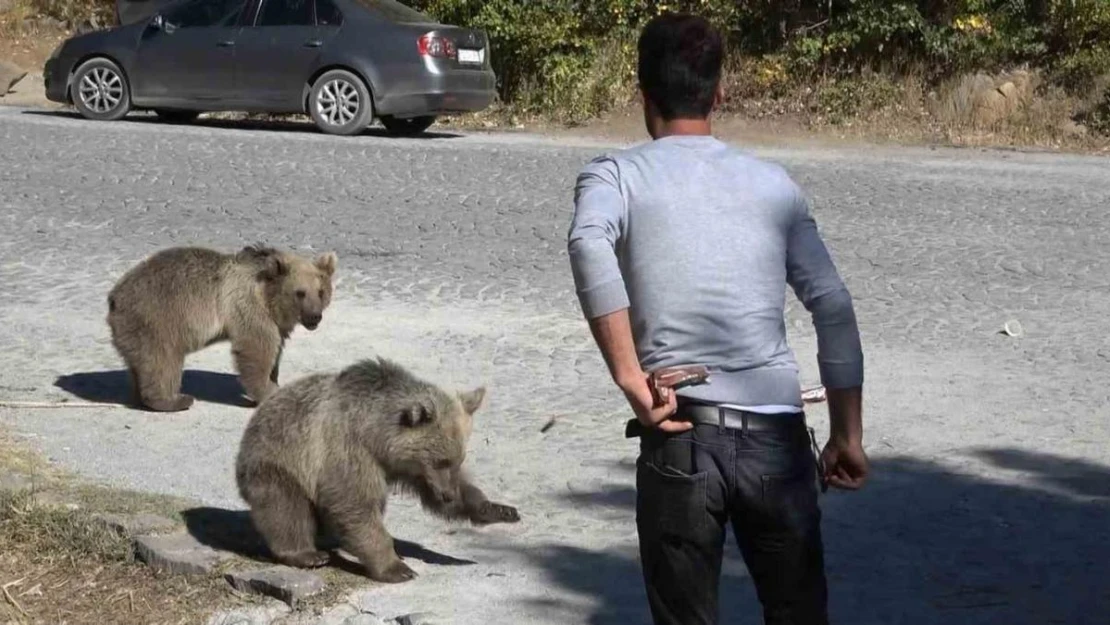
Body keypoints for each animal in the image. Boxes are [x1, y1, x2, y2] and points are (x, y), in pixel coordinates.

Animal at [106, 243, 335, 410]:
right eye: (300, 293)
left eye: (321, 291)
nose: (315, 317)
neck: (267, 297)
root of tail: (114, 296)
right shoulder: (248, 308)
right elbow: (257, 349)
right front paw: (267, 391)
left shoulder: (276, 323)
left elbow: (275, 348)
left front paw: (274, 380)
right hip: (157, 318)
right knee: (162, 360)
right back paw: (175, 400)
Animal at [234, 359, 519, 586]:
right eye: (441, 460)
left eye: (457, 460)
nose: (448, 494)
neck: (376, 434)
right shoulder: (348, 452)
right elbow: (355, 505)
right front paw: (398, 568)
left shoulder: (406, 468)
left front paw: (498, 509)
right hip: (281, 460)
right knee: (286, 509)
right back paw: (307, 554)